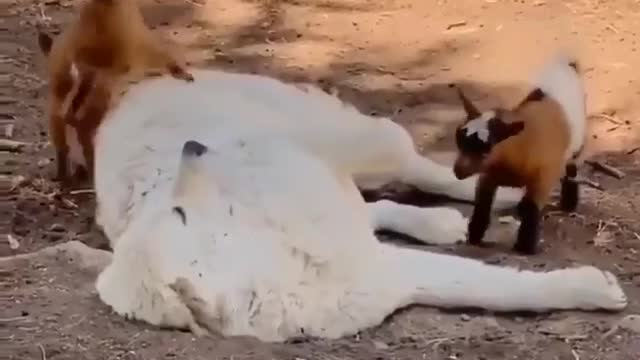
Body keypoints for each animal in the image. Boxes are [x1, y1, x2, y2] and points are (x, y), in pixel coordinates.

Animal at [92, 69, 628, 342]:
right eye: (177, 212)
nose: (193, 147)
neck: (276, 264)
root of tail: (138, 90)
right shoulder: (382, 275)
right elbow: (494, 289)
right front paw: (592, 289)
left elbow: (502, 285)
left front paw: (589, 287)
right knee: (374, 208)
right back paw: (440, 222)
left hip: (355, 142)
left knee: (413, 167)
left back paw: (501, 197)